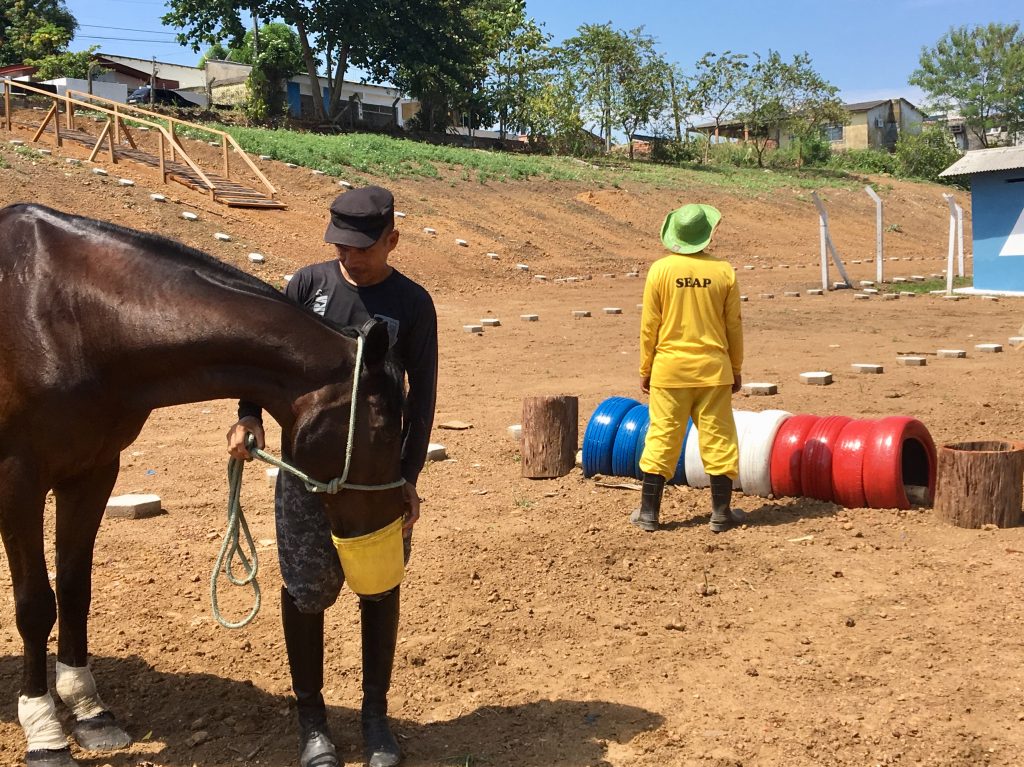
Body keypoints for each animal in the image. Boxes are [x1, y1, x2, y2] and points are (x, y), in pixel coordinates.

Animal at [0, 203, 405, 765]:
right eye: (385, 430)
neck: (66, 317)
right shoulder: (18, 479)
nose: (393, 526)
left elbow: (76, 589)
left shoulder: (94, 471)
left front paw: (90, 713)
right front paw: (44, 732)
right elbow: (36, 605)